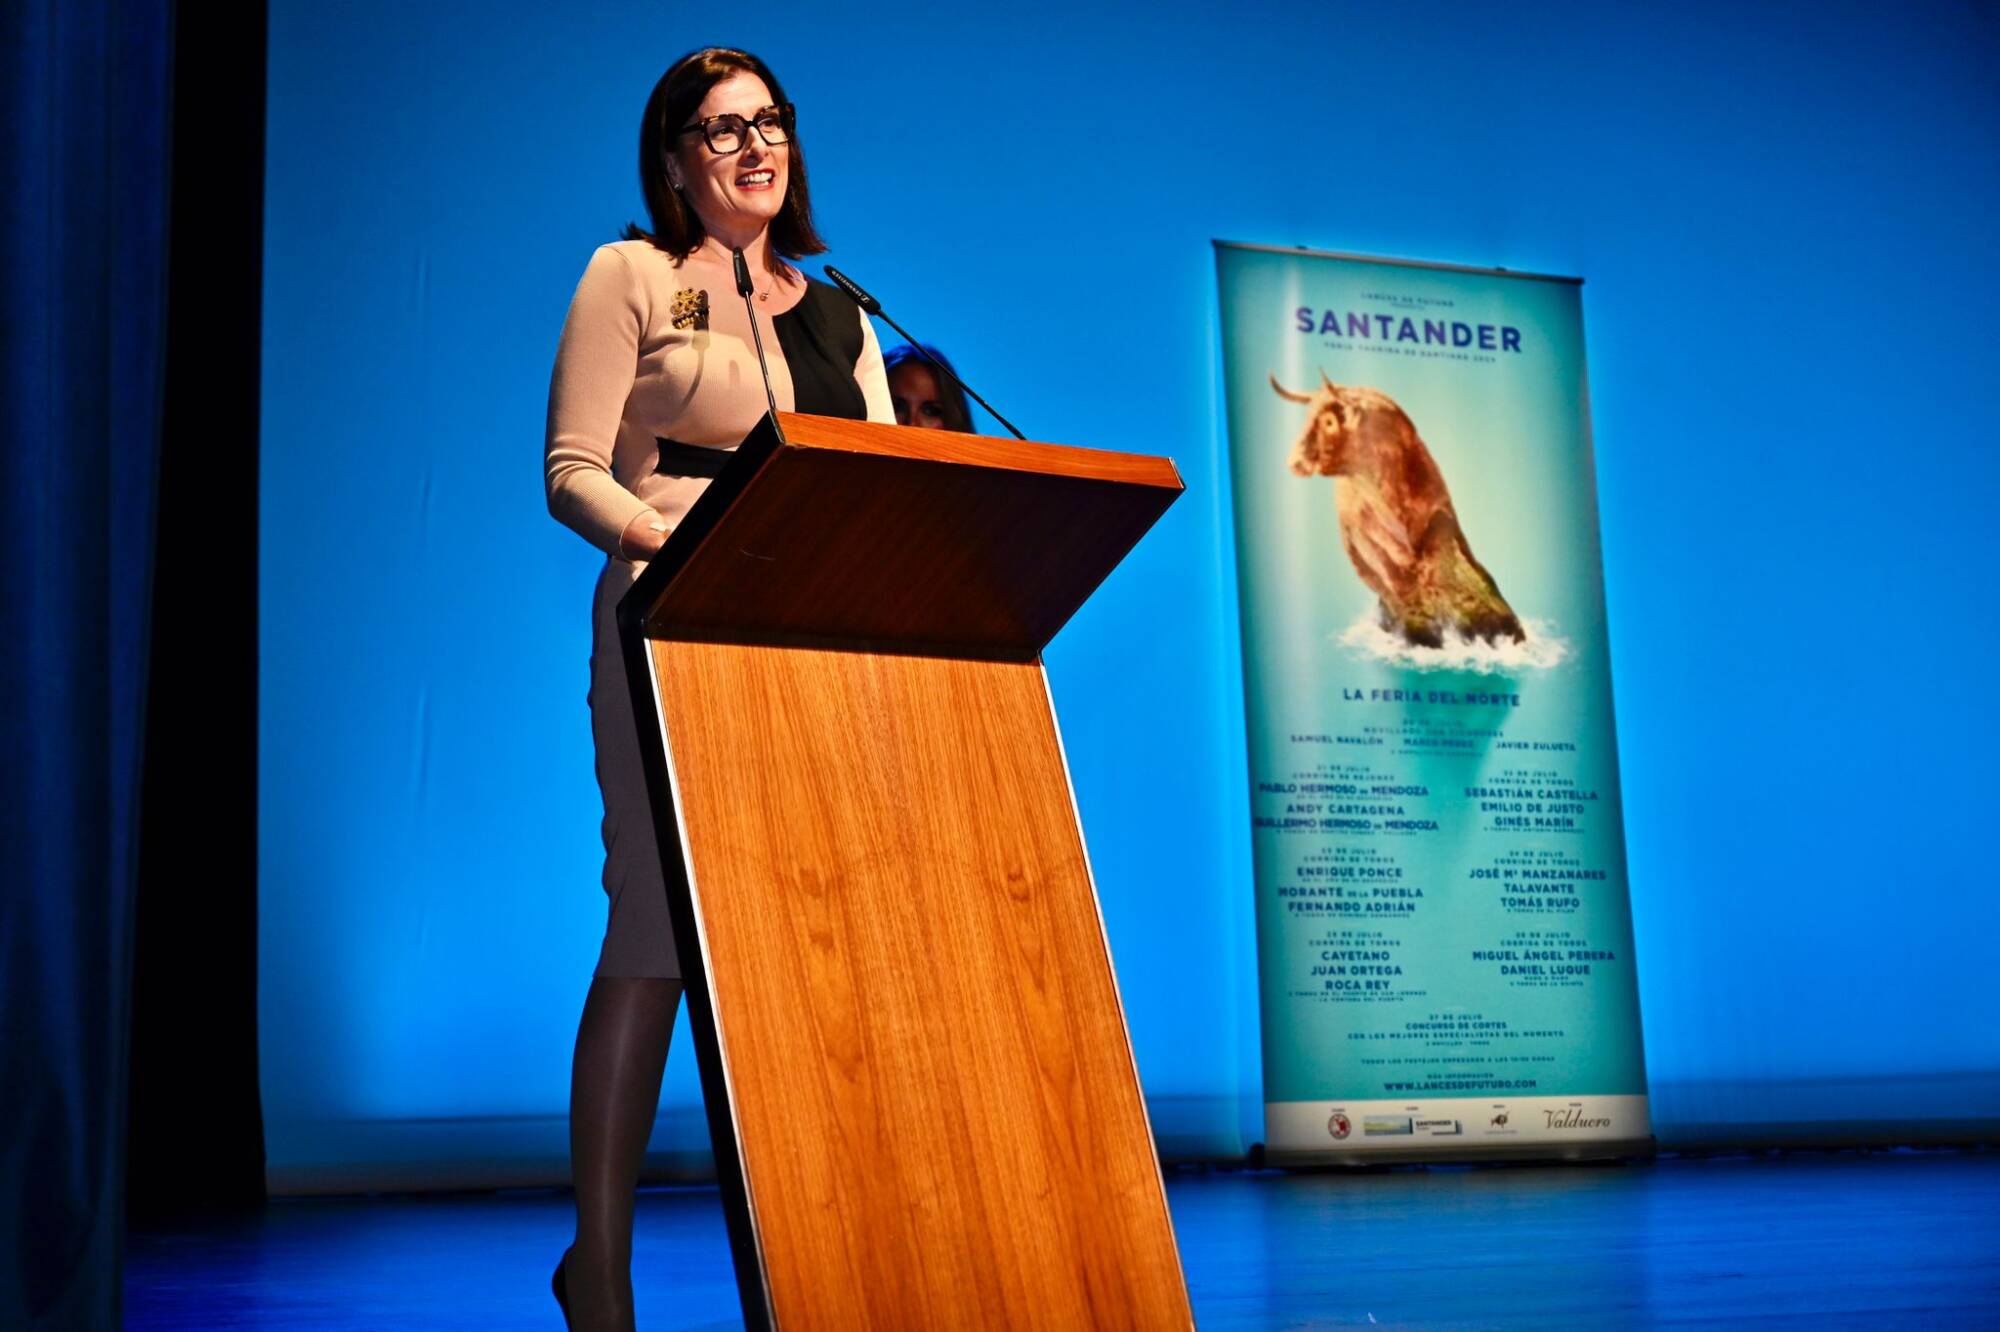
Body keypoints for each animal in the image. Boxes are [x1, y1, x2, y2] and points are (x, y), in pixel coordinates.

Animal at [1269, 371, 1525, 648]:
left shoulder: (1440, 517)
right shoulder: (1360, 543)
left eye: (1329, 421)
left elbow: (1450, 564)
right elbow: (1391, 584)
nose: (1294, 462)